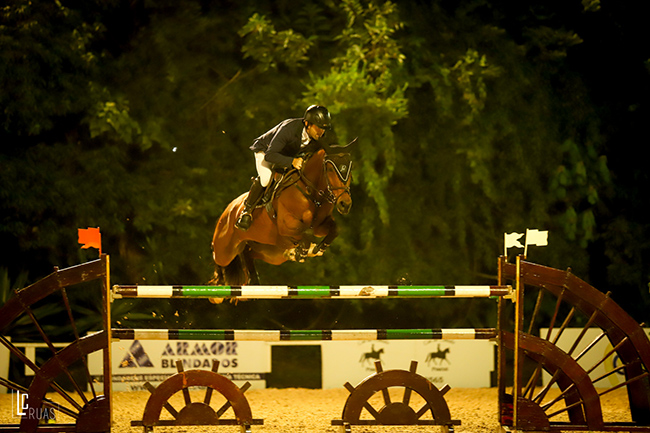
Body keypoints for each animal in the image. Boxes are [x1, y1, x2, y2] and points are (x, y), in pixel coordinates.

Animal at [211, 145, 353, 287]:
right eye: (330, 169)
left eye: (350, 171)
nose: (345, 204)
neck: (311, 192)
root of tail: (228, 209)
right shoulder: (287, 225)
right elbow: (306, 234)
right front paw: (303, 252)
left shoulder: (319, 226)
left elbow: (334, 229)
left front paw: (317, 249)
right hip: (224, 251)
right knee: (219, 259)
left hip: (270, 253)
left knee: (247, 255)